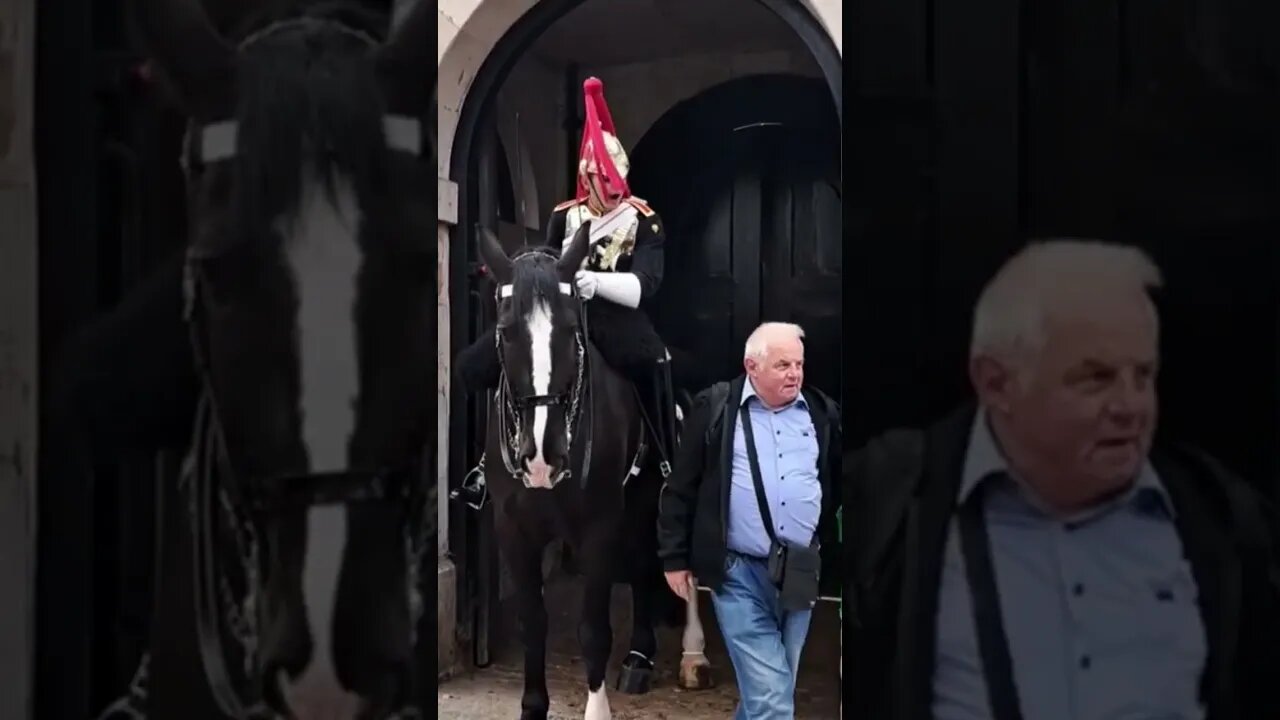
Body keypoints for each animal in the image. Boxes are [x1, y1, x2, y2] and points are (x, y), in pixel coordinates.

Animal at [476, 222, 716, 712]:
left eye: (572, 330)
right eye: (506, 332)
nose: (542, 457)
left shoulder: (599, 525)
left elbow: (593, 631)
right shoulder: (514, 530)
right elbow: (533, 624)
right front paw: (533, 706)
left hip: (654, 501)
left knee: (666, 567)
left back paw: (687, 653)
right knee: (643, 568)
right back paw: (641, 657)